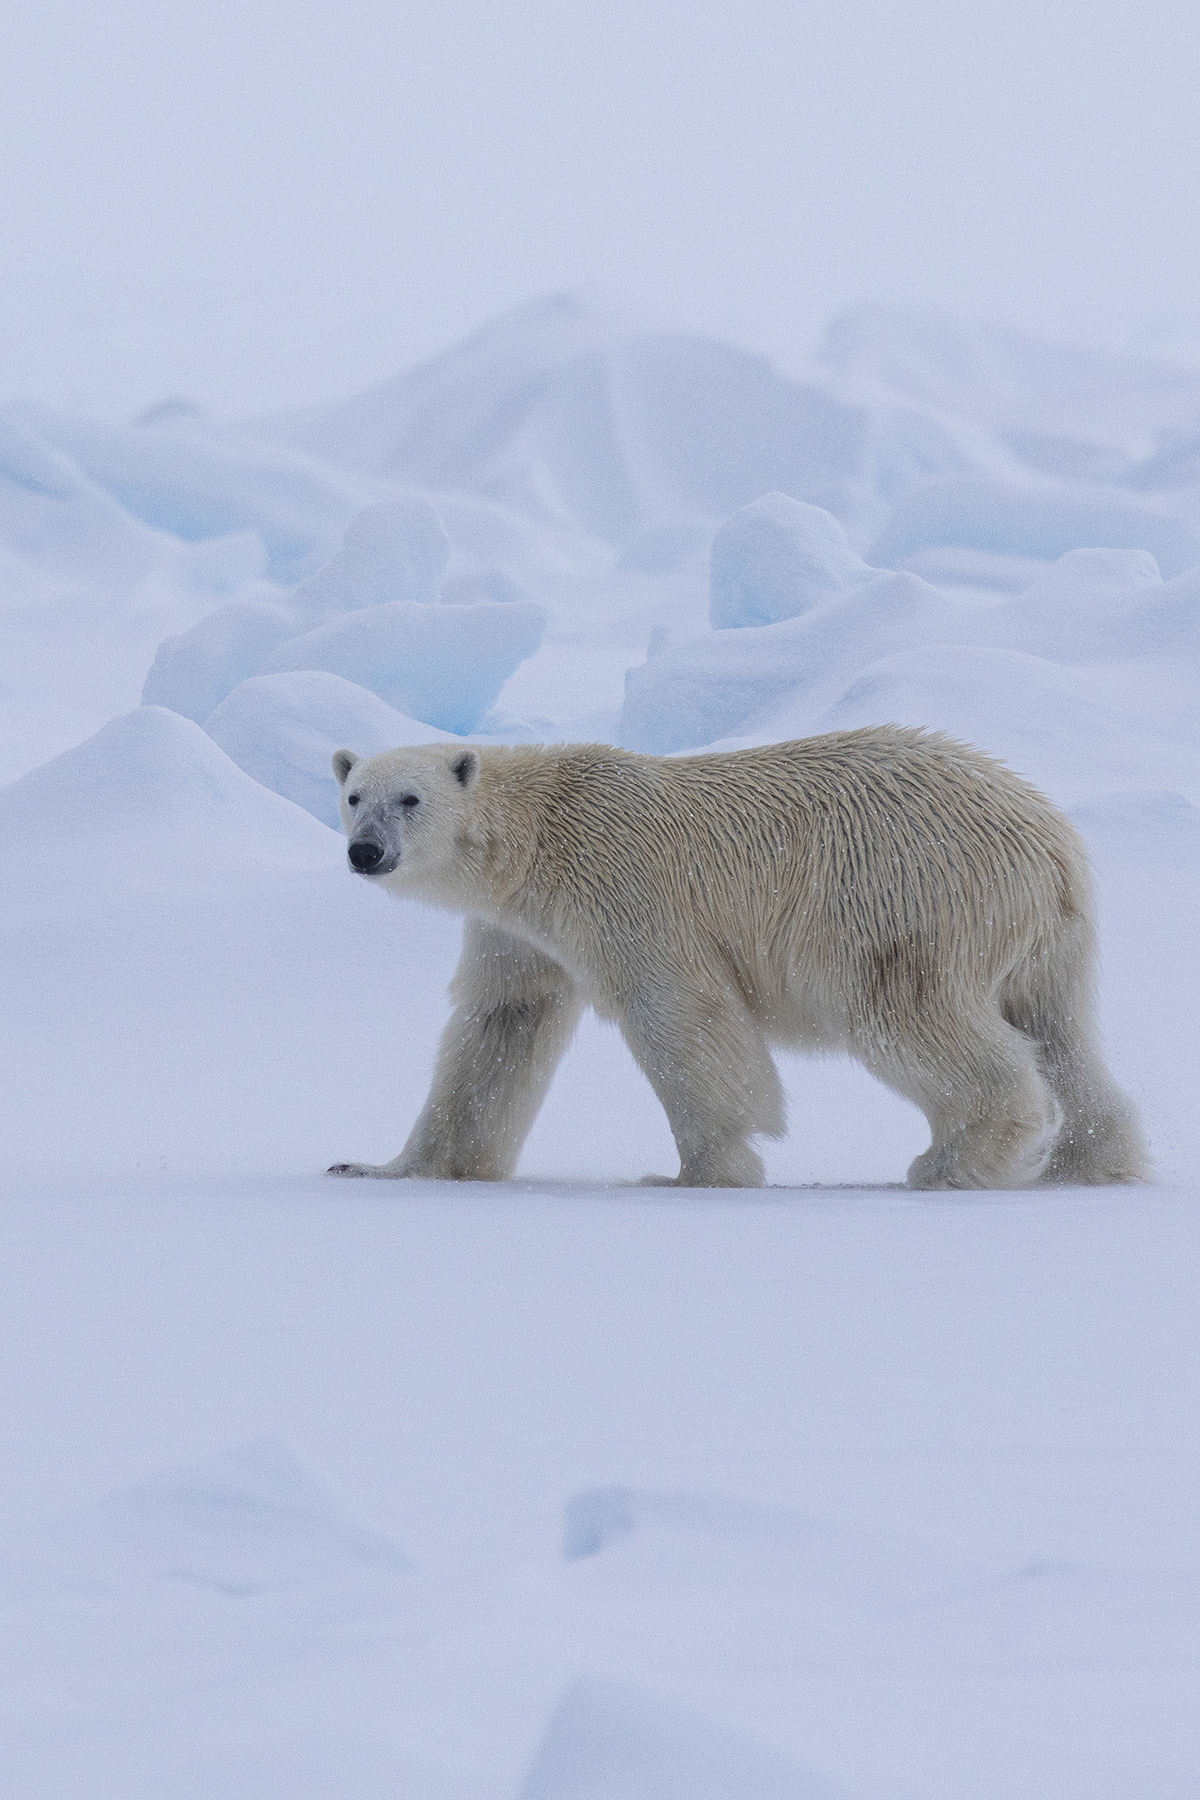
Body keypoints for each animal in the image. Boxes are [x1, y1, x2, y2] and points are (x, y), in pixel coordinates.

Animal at [327, 727, 1147, 1191]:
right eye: (354, 794)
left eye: (410, 799)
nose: (365, 852)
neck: (538, 837)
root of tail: (1047, 843)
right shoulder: (517, 930)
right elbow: (500, 1024)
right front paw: (386, 1166)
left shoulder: (620, 884)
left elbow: (678, 1012)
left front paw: (692, 1172)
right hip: (1044, 938)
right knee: (1061, 1032)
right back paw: (1090, 1161)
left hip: (901, 896)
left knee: (905, 1014)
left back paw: (952, 1162)